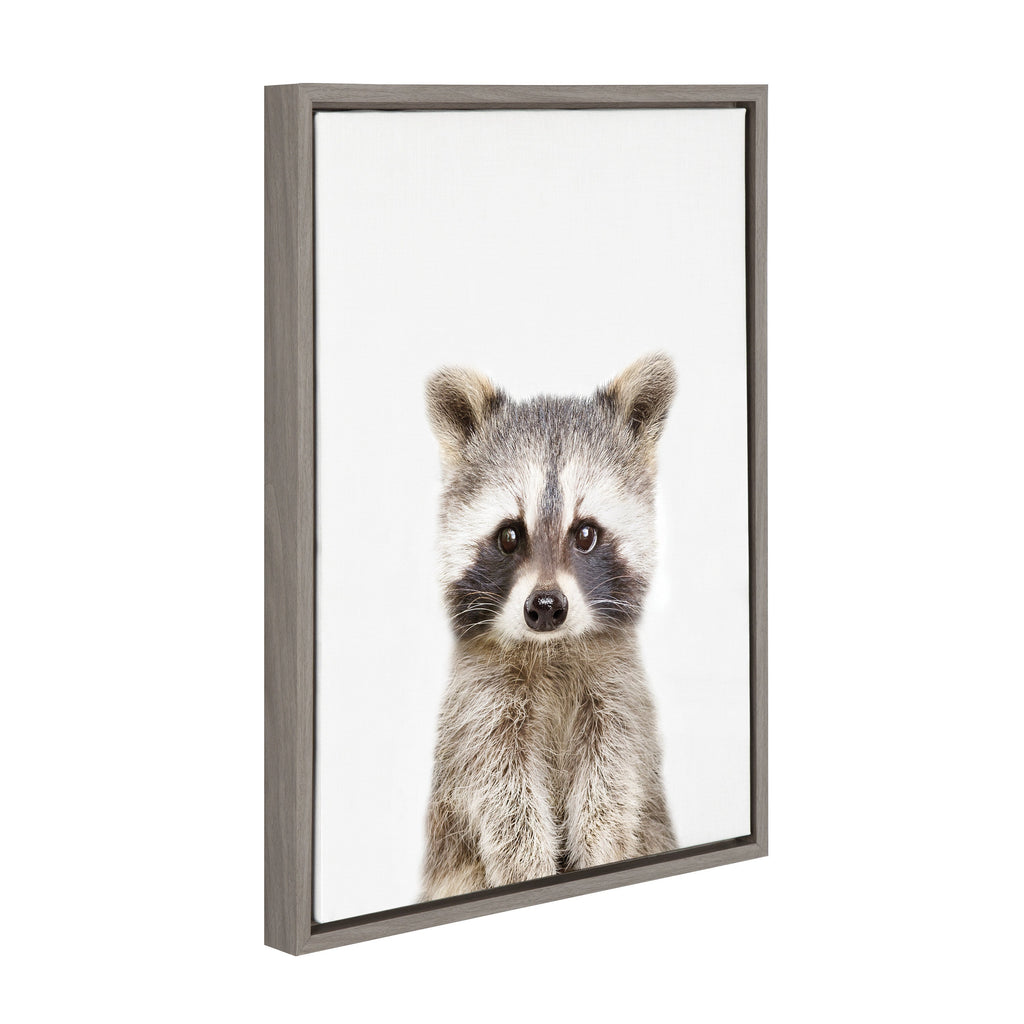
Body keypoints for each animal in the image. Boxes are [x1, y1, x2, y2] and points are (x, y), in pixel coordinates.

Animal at [420, 353, 678, 901]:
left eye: (585, 533)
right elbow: (504, 797)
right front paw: (526, 868)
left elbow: (611, 785)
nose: (544, 607)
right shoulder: (479, 707)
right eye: (509, 535)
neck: (552, 648)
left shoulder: (618, 695)